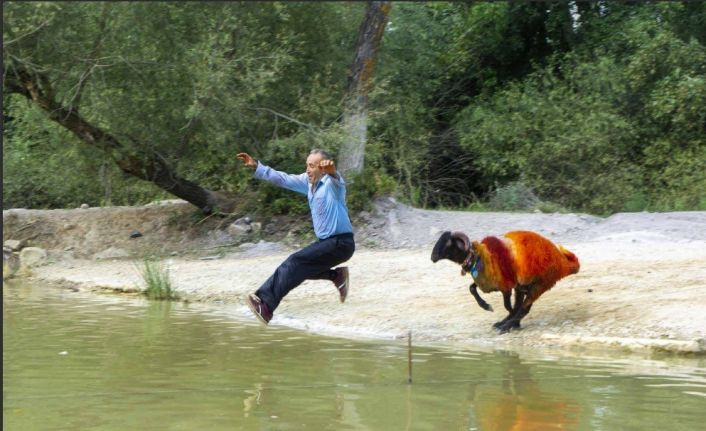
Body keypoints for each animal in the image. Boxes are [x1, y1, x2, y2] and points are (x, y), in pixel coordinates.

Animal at [428, 230, 576, 334]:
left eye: (448, 242)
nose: (432, 257)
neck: (480, 257)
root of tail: (562, 261)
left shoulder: (506, 286)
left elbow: (508, 306)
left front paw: (510, 320)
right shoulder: (485, 281)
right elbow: (472, 288)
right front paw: (487, 306)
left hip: (540, 285)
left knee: (524, 309)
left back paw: (505, 326)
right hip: (523, 287)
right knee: (521, 306)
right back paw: (504, 324)